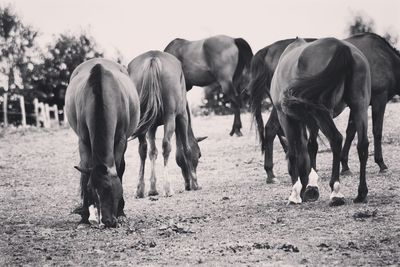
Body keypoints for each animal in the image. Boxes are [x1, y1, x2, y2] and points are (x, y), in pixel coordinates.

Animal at [65, 58, 140, 228]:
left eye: (111, 189)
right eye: (91, 189)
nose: (107, 221)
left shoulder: (121, 141)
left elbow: (120, 169)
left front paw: (121, 213)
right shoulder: (84, 142)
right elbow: (85, 170)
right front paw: (85, 217)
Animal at [128, 50, 203, 199]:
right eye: (199, 154)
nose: (187, 185)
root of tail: (153, 58)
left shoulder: (151, 126)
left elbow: (152, 152)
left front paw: (152, 188)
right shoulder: (182, 117)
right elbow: (186, 148)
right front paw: (195, 182)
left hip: (142, 121)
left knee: (143, 149)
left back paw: (140, 189)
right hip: (170, 117)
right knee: (166, 146)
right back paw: (168, 188)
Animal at [248, 31, 398, 182]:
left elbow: (348, 133)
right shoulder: (379, 98)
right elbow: (375, 131)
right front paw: (379, 163)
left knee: (275, 130)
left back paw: (274, 172)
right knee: (275, 130)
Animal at [270, 37, 370, 206]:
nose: (304, 194)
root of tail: (340, 46)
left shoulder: (286, 117)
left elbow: (293, 153)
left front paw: (295, 194)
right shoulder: (310, 120)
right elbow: (312, 147)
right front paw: (312, 187)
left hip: (322, 112)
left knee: (336, 139)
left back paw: (336, 192)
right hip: (359, 106)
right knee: (362, 145)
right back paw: (361, 193)